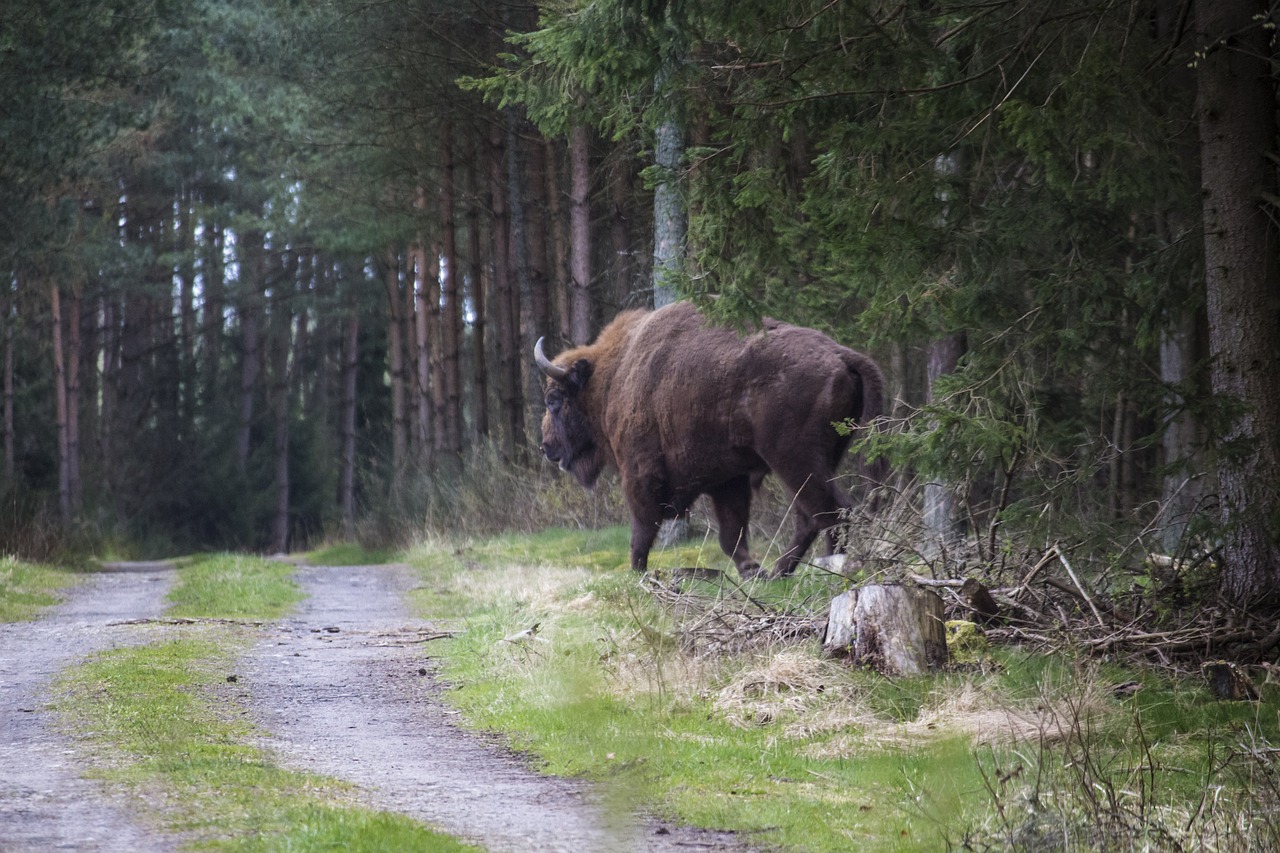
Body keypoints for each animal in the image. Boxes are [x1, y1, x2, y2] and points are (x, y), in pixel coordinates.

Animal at [535, 300, 885, 578]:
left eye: (553, 400)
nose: (546, 446)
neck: (612, 378)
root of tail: (840, 354)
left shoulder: (639, 473)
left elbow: (642, 529)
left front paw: (637, 573)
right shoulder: (727, 480)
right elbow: (731, 534)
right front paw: (750, 571)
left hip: (794, 460)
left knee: (830, 510)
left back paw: (823, 569)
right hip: (821, 459)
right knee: (811, 516)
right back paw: (777, 573)